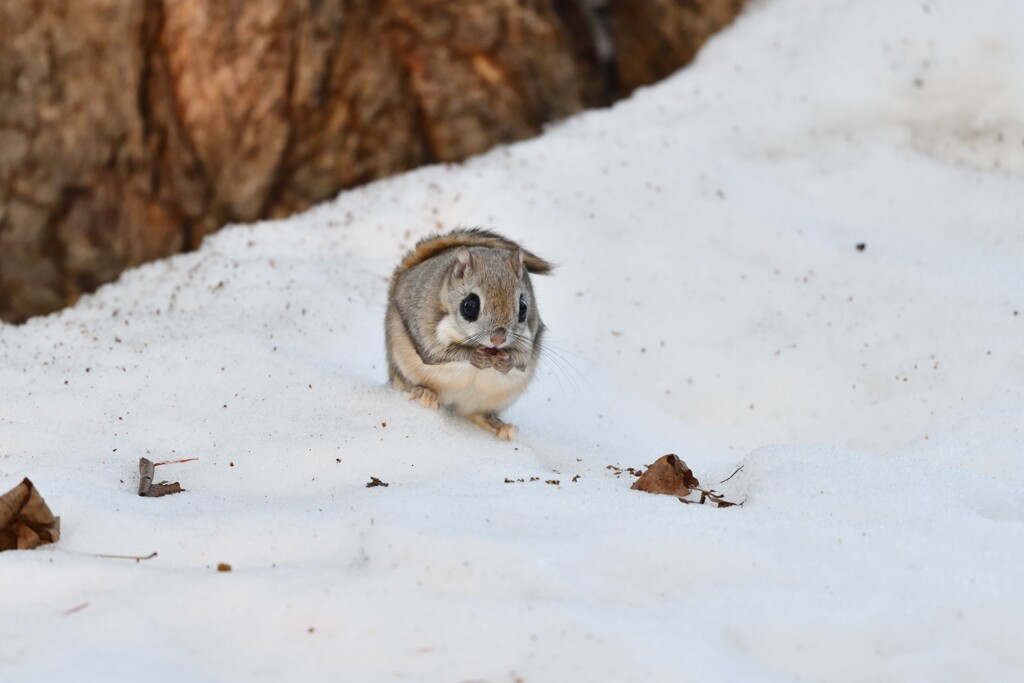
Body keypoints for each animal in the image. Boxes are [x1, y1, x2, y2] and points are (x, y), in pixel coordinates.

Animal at [385, 228, 557, 444]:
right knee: (407, 385)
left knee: (478, 415)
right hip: (401, 367)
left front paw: (506, 361)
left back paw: (500, 427)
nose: (498, 339)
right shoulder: (425, 324)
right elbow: (434, 354)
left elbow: (523, 361)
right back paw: (425, 394)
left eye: (524, 307)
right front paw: (474, 356)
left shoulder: (531, 334)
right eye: (470, 305)